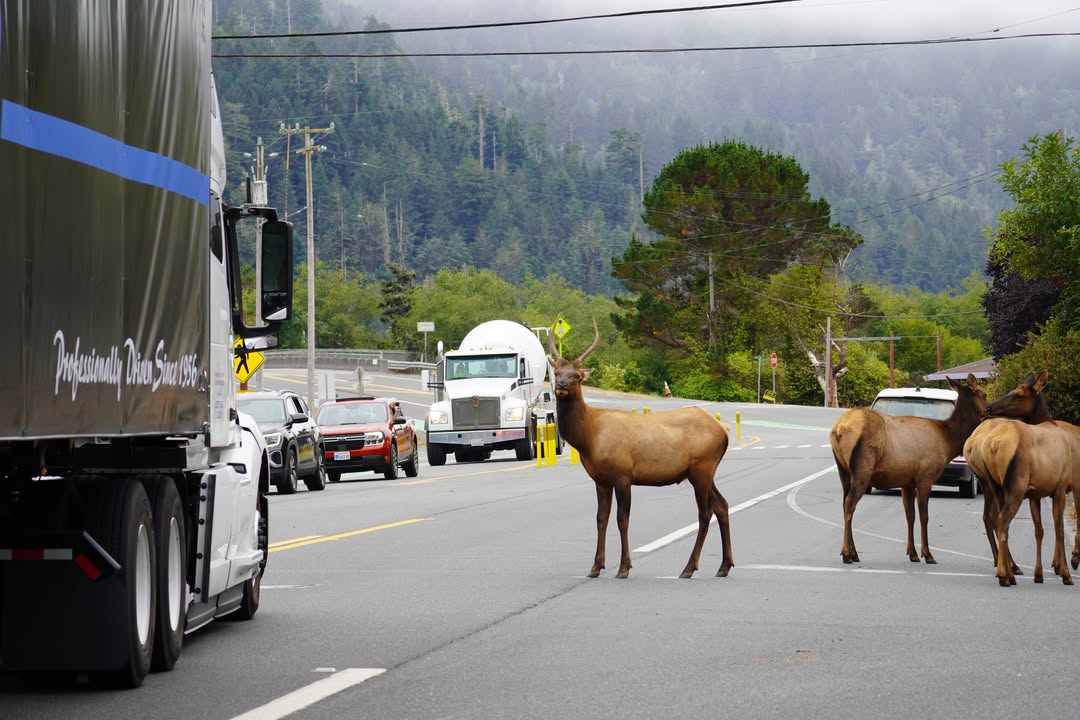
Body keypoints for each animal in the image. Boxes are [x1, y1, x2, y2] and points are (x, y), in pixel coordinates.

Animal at [547, 319, 733, 579]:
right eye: (557, 373)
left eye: (577, 376)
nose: (562, 385)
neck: (589, 438)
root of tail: (723, 429)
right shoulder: (600, 479)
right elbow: (601, 519)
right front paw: (595, 567)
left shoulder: (623, 474)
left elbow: (622, 520)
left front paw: (624, 567)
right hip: (702, 471)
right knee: (722, 506)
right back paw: (723, 566)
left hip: (702, 468)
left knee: (705, 513)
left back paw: (688, 568)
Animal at [829, 373, 986, 565]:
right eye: (984, 394)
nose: (989, 411)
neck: (948, 442)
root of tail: (839, 429)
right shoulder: (925, 477)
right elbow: (924, 516)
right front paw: (928, 554)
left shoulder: (907, 482)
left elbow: (910, 515)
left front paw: (912, 553)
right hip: (862, 468)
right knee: (850, 504)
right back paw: (846, 553)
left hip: (843, 470)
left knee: (845, 502)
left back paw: (853, 553)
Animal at [964, 370, 1080, 586]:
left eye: (1018, 394)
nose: (989, 407)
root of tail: (993, 444)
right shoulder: (1064, 486)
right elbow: (1060, 529)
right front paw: (1067, 568)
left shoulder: (1037, 493)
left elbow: (1040, 530)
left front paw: (1041, 572)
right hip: (1015, 488)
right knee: (1002, 519)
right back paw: (1005, 574)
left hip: (994, 485)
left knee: (994, 518)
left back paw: (1008, 571)